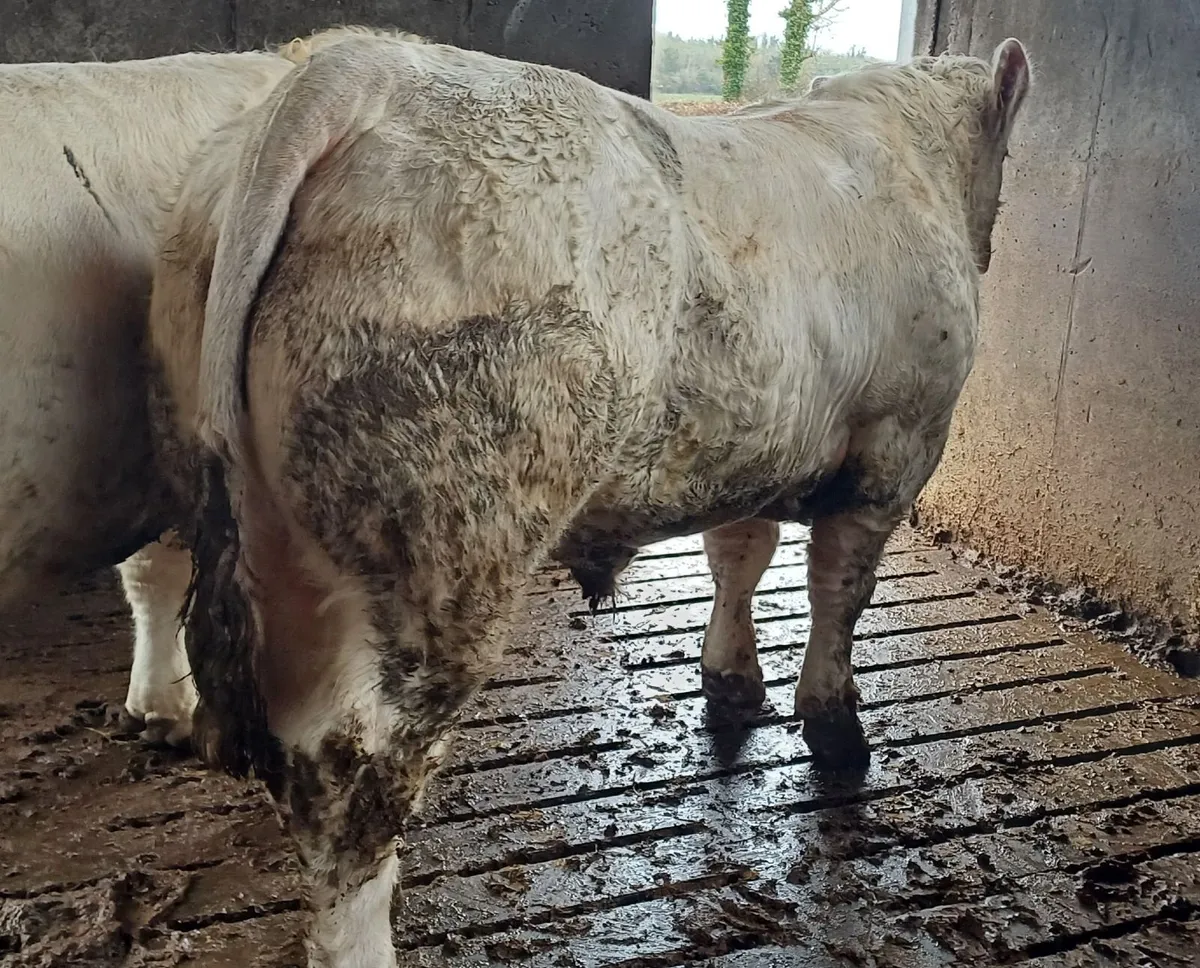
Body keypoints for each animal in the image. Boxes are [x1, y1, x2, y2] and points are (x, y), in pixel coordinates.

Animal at [146, 33, 1031, 965]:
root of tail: (362, 67)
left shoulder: (761, 441)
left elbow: (739, 555)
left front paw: (731, 681)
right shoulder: (898, 444)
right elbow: (839, 593)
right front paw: (834, 726)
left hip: (268, 527)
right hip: (452, 545)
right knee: (351, 775)